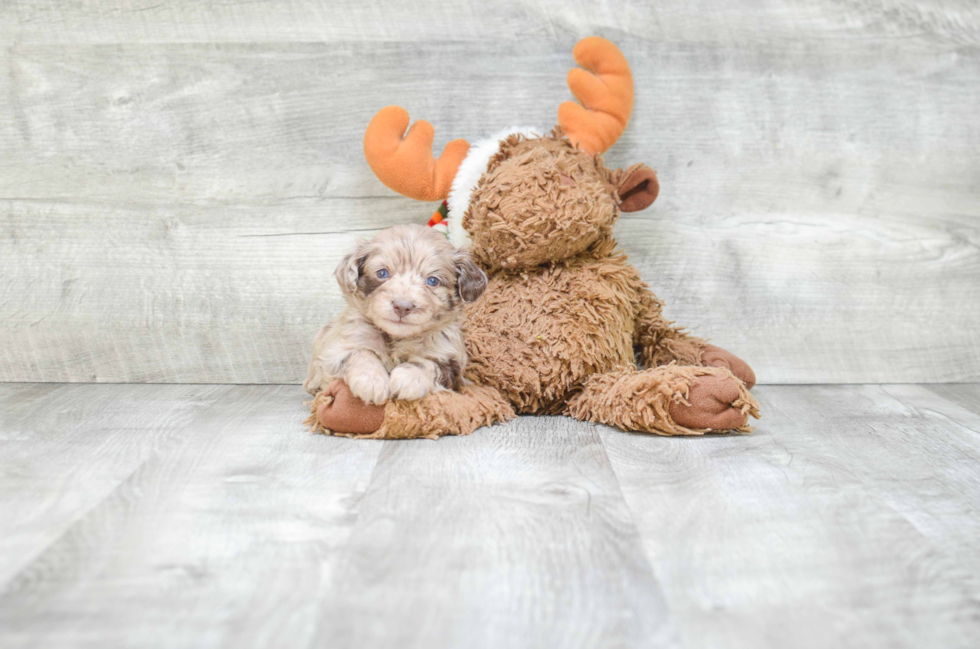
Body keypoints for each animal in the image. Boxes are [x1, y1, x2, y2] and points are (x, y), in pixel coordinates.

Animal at [304, 225, 488, 402]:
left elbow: (428, 364)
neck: (396, 337)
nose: (402, 306)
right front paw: (372, 381)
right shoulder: (337, 348)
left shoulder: (450, 361)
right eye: (382, 273)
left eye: (432, 281)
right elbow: (359, 353)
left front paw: (408, 378)